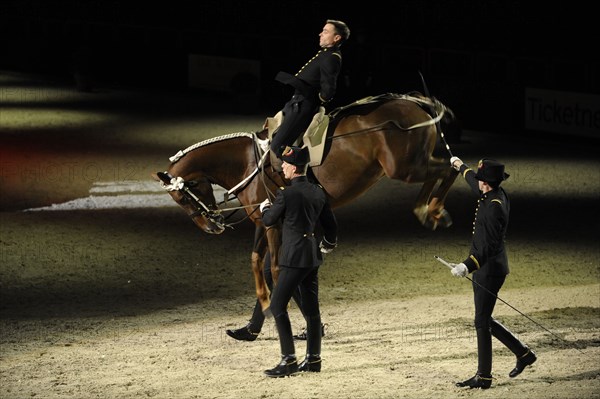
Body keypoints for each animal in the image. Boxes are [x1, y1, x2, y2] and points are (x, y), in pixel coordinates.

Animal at [155, 93, 460, 312]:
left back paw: (432, 209)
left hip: (406, 168)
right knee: (446, 169)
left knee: (452, 168)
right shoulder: (262, 220)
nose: (212, 226)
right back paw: (429, 211)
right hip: (414, 165)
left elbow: (276, 266)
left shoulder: (275, 224)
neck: (249, 162)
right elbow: (255, 259)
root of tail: (414, 103)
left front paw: (279, 305)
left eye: (181, 195)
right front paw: (264, 301)